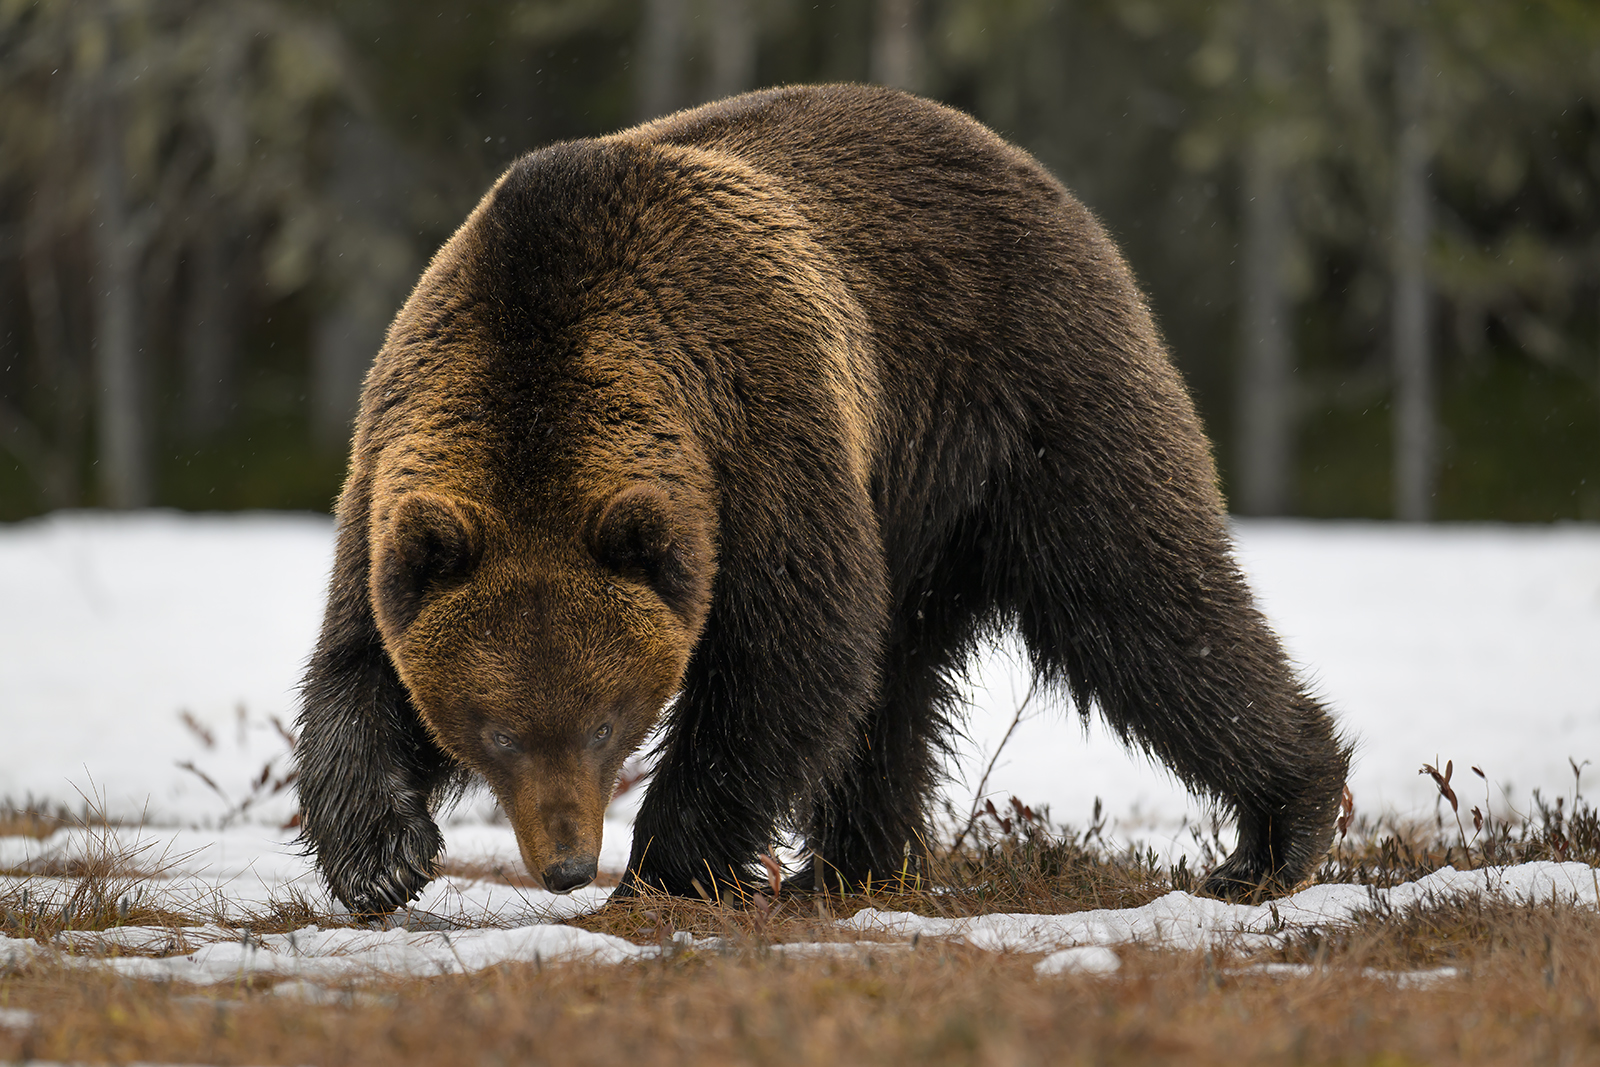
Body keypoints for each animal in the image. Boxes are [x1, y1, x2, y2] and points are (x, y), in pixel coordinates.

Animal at [294, 84, 1350, 917]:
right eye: (497, 727)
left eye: (606, 719)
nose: (564, 863)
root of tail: (1017, 159)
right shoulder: (396, 472)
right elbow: (356, 664)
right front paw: (381, 856)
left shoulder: (756, 423)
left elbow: (792, 650)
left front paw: (663, 871)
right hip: (915, 503)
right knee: (898, 682)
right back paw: (850, 868)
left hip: (1026, 395)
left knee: (1141, 603)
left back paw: (1278, 830)